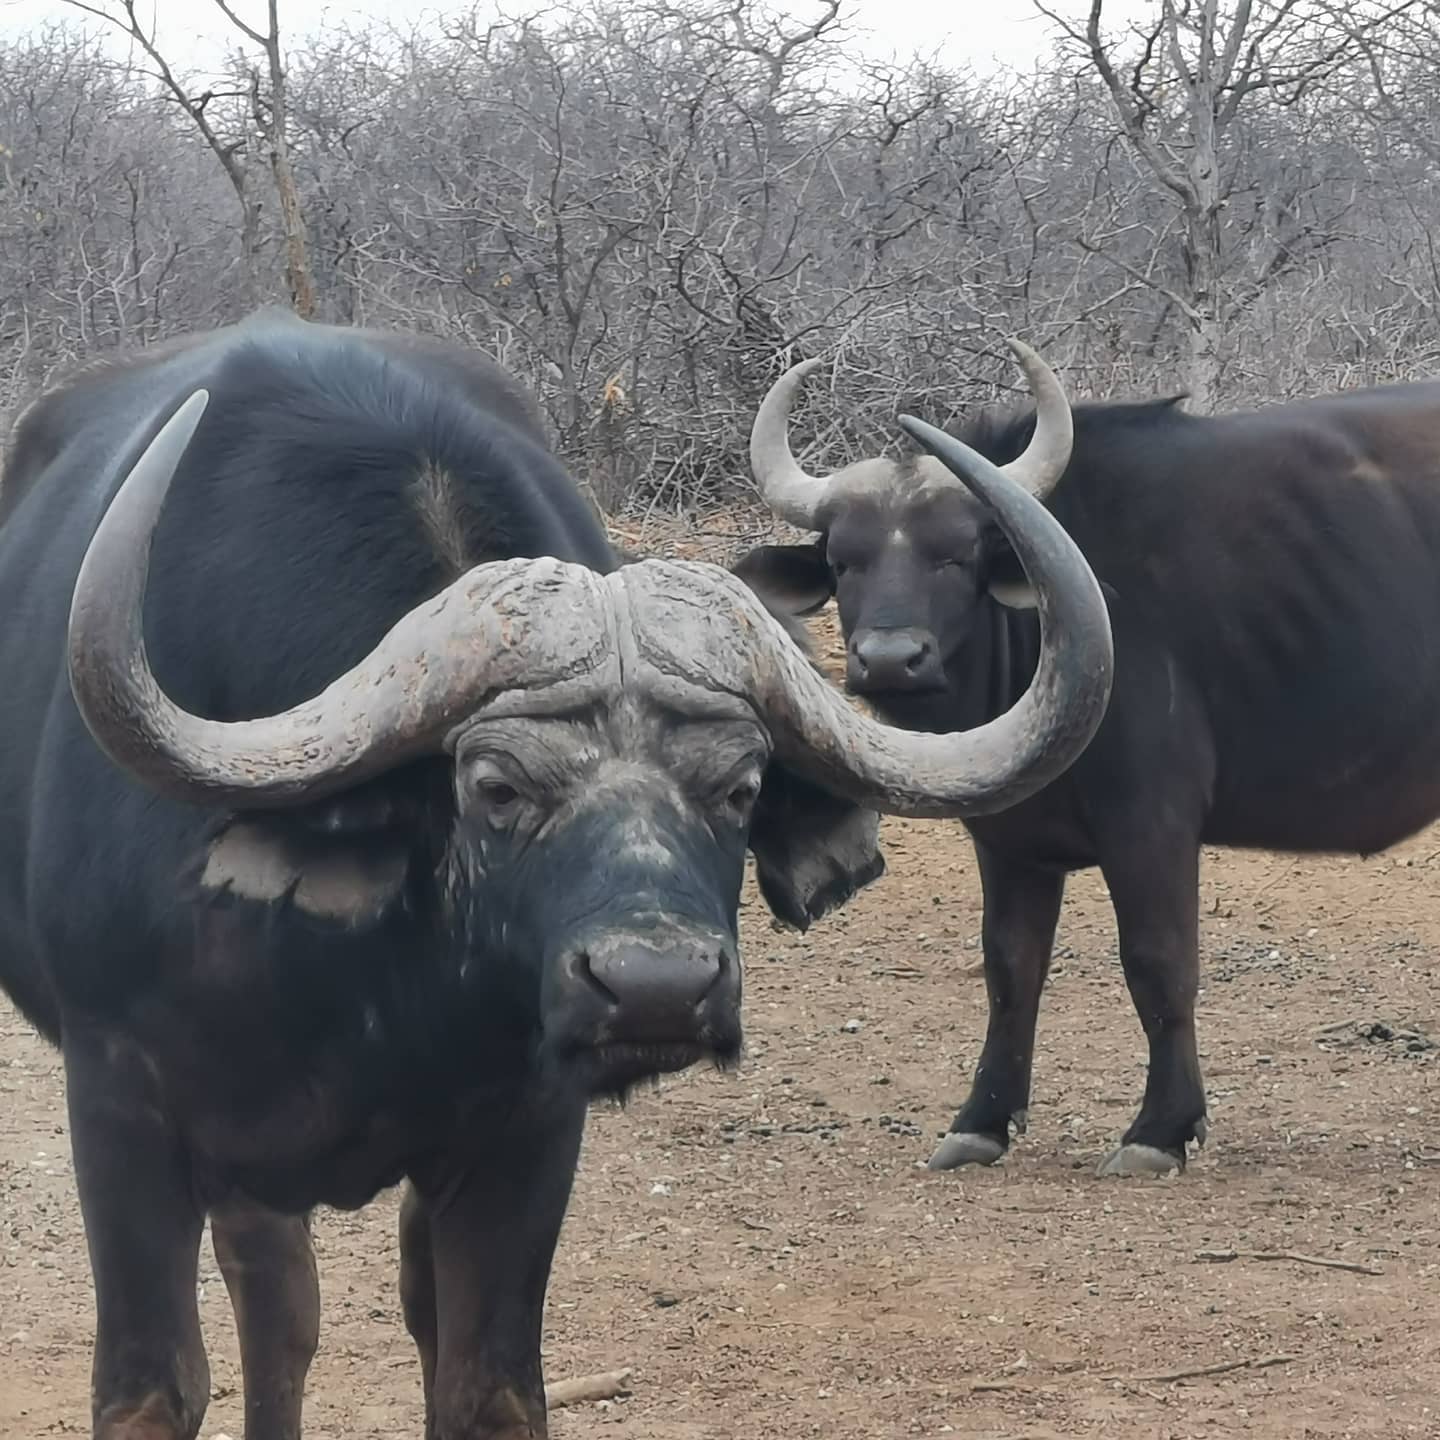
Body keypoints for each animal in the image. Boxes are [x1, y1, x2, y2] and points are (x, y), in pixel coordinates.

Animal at [0, 309, 1111, 1434]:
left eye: (742, 786)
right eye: (494, 787)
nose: (657, 988)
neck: (366, 977)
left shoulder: (527, 1129)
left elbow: (485, 1385)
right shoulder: (120, 1105)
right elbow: (154, 1386)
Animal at [737, 345, 1440, 1180]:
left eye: (956, 556)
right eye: (845, 562)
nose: (889, 661)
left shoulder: (1151, 828)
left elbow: (1159, 964)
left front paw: (1160, 1128)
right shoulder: (1009, 841)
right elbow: (1010, 969)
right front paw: (982, 1120)